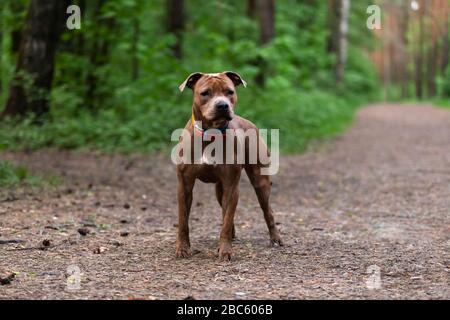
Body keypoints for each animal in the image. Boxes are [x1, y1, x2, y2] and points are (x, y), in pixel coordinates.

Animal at [175, 70, 282, 260]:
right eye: (205, 93)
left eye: (229, 92)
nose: (223, 105)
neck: (210, 134)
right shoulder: (184, 184)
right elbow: (183, 221)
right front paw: (183, 248)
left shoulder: (232, 185)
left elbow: (227, 219)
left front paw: (225, 250)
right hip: (220, 189)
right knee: (225, 211)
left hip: (260, 182)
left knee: (266, 210)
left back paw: (275, 238)